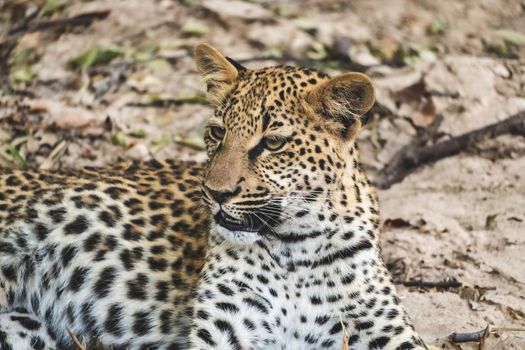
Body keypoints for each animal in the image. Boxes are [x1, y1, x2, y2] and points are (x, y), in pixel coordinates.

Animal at [1, 43, 426, 350]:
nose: (216, 193)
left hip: (25, 328)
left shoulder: (385, 328)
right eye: (218, 133)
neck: (294, 245)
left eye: (272, 143)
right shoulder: (227, 327)